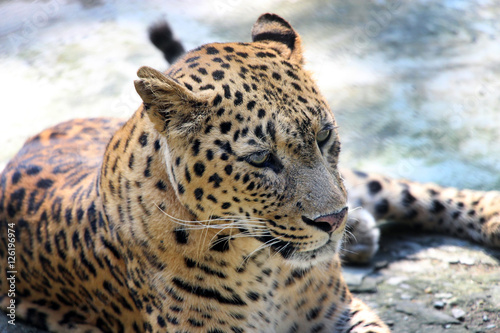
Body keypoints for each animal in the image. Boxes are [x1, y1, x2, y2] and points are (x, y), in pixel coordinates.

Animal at [0, 11, 496, 330]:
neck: (265, 267)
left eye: (323, 135)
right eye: (260, 159)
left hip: (357, 185)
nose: (333, 220)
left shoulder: (341, 311)